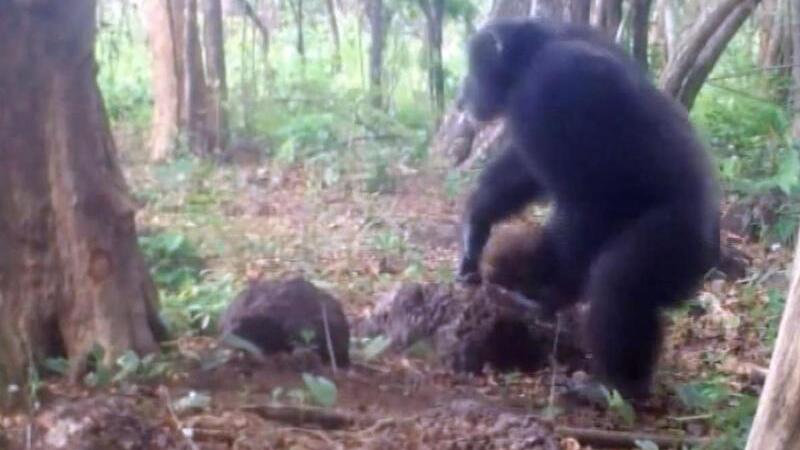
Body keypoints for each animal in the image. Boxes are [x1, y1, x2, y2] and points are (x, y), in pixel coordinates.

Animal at [454, 17, 720, 400]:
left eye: (474, 68)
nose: (461, 96)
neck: (530, 56)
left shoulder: (553, 89)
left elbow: (583, 198)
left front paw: (549, 293)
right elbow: (522, 167)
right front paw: (476, 225)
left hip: (678, 239)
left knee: (617, 283)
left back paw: (614, 386)